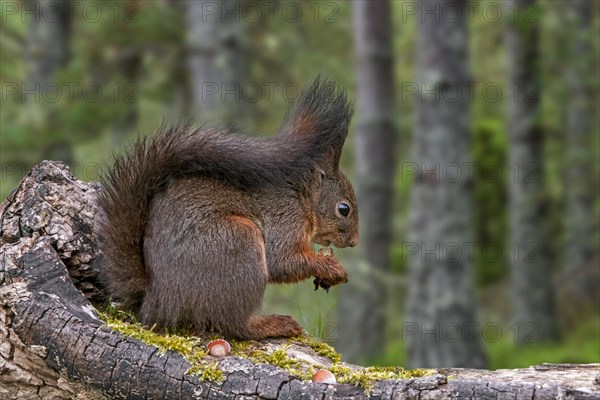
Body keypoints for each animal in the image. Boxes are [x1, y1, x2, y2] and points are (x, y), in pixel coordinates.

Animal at [98, 79, 358, 340]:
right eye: (343, 209)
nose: (354, 242)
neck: (302, 198)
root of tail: (159, 299)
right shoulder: (285, 219)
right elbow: (284, 261)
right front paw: (331, 268)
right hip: (238, 244)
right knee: (232, 324)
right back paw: (271, 324)